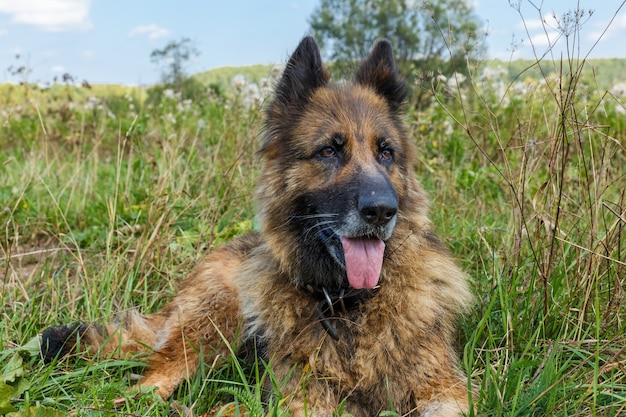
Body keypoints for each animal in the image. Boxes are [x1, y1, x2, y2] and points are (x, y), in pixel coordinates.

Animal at [41, 36, 470, 416]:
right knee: (147, 385)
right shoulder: (304, 397)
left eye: (386, 153)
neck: (346, 305)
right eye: (328, 151)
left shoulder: (443, 388)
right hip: (215, 324)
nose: (382, 211)